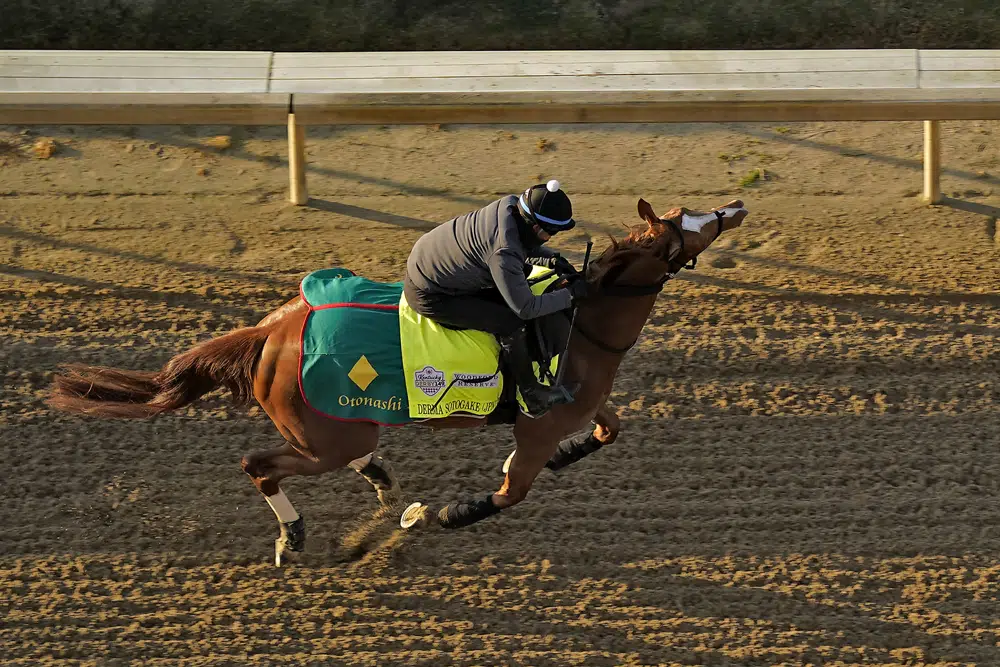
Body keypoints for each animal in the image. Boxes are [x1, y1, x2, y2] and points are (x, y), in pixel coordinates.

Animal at [48, 197, 752, 564]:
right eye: (686, 226)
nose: (736, 206)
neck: (580, 327)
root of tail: (270, 334)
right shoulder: (536, 425)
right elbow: (511, 491)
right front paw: (451, 512)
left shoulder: (580, 408)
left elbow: (608, 429)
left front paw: (569, 456)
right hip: (322, 436)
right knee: (260, 464)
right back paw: (294, 535)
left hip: (340, 426)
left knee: (349, 453)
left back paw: (381, 482)